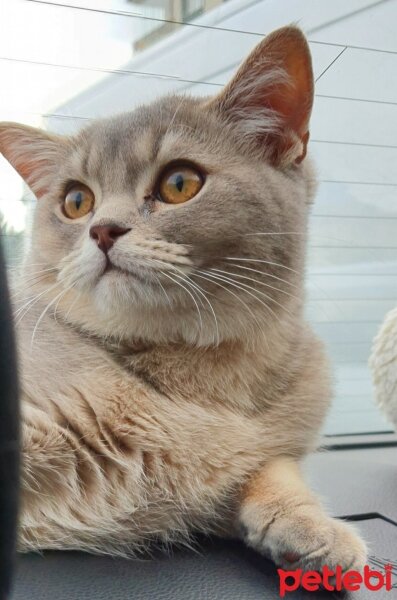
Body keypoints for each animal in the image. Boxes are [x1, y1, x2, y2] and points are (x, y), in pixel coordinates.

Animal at [0, 27, 366, 572]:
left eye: (179, 183)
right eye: (76, 201)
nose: (103, 229)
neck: (199, 383)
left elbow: (273, 467)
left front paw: (310, 524)